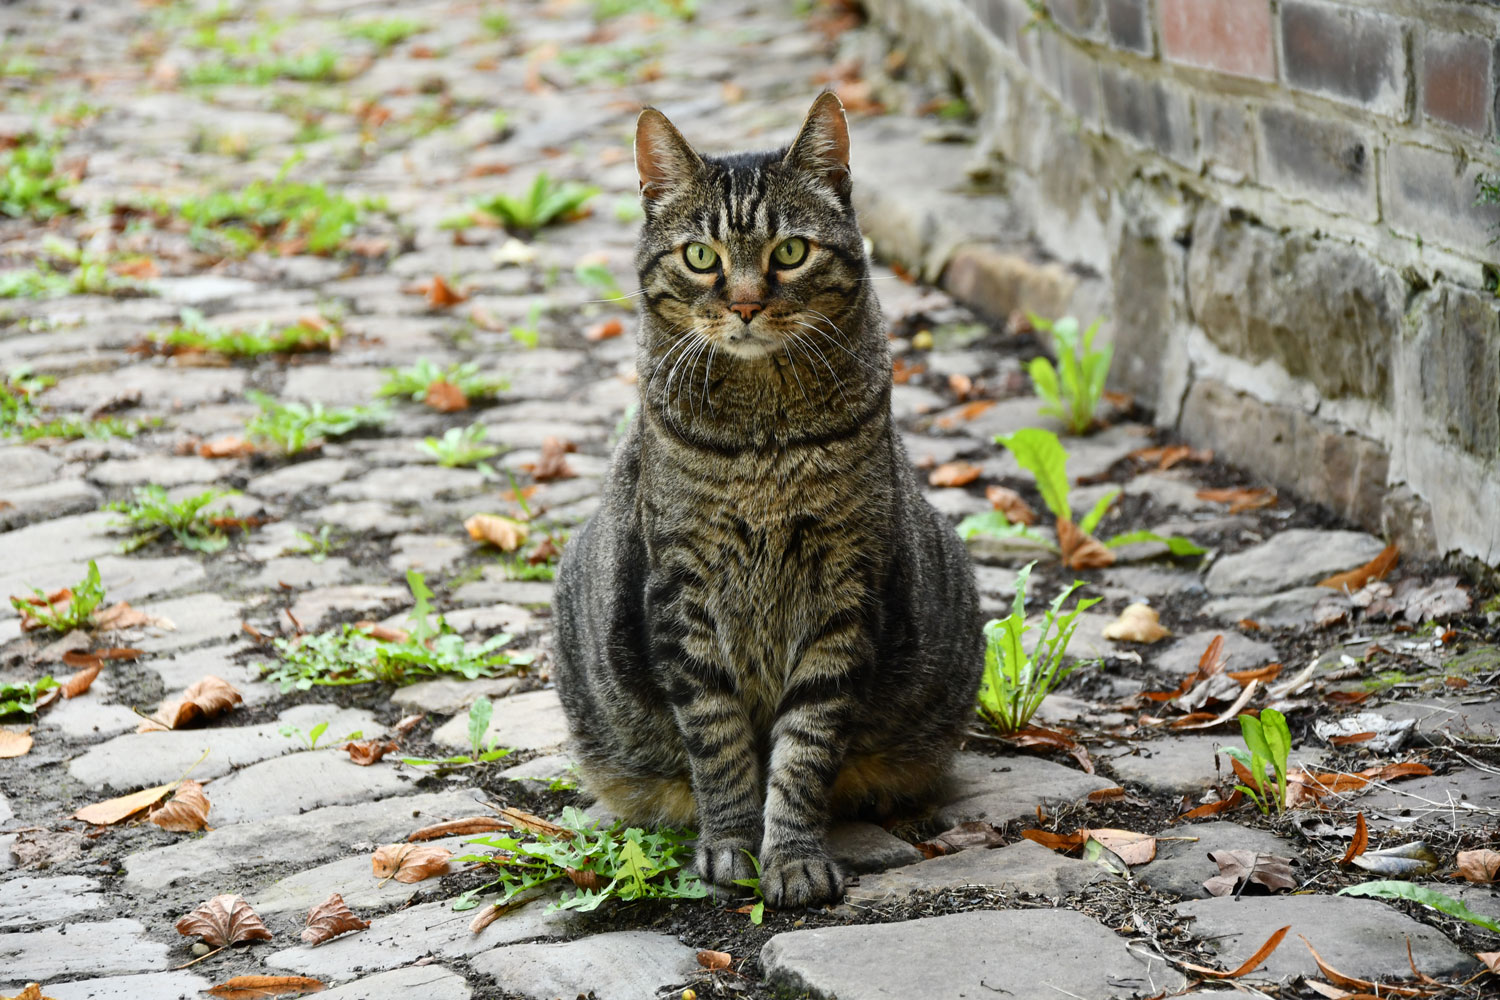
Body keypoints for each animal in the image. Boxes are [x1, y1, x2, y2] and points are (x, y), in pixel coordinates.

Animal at [555, 91, 984, 905]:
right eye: (701, 257)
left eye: (790, 252)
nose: (748, 304)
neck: (765, 443)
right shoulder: (682, 589)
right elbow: (719, 742)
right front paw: (730, 846)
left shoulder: (845, 590)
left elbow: (805, 748)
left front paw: (792, 856)